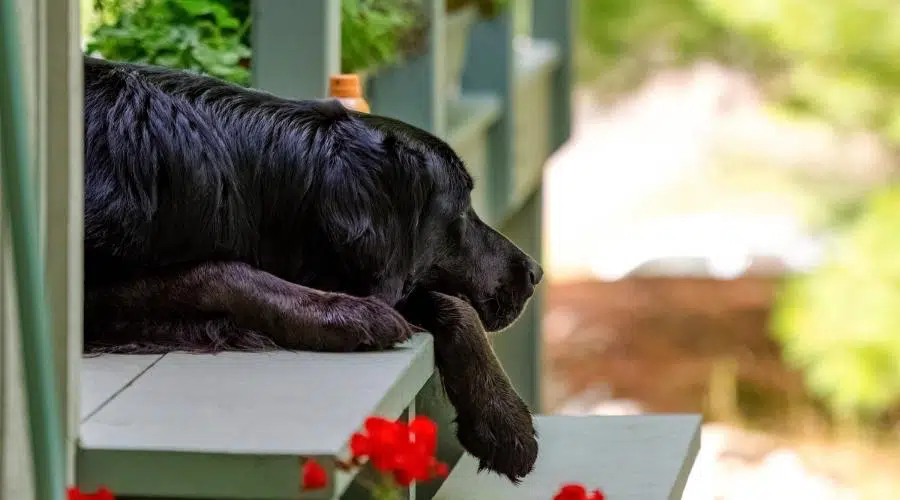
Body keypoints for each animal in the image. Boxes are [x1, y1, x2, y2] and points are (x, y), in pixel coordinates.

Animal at [82, 56, 540, 482]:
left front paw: (503, 418)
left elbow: (452, 305)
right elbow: (219, 273)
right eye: (461, 209)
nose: (535, 273)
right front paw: (346, 315)